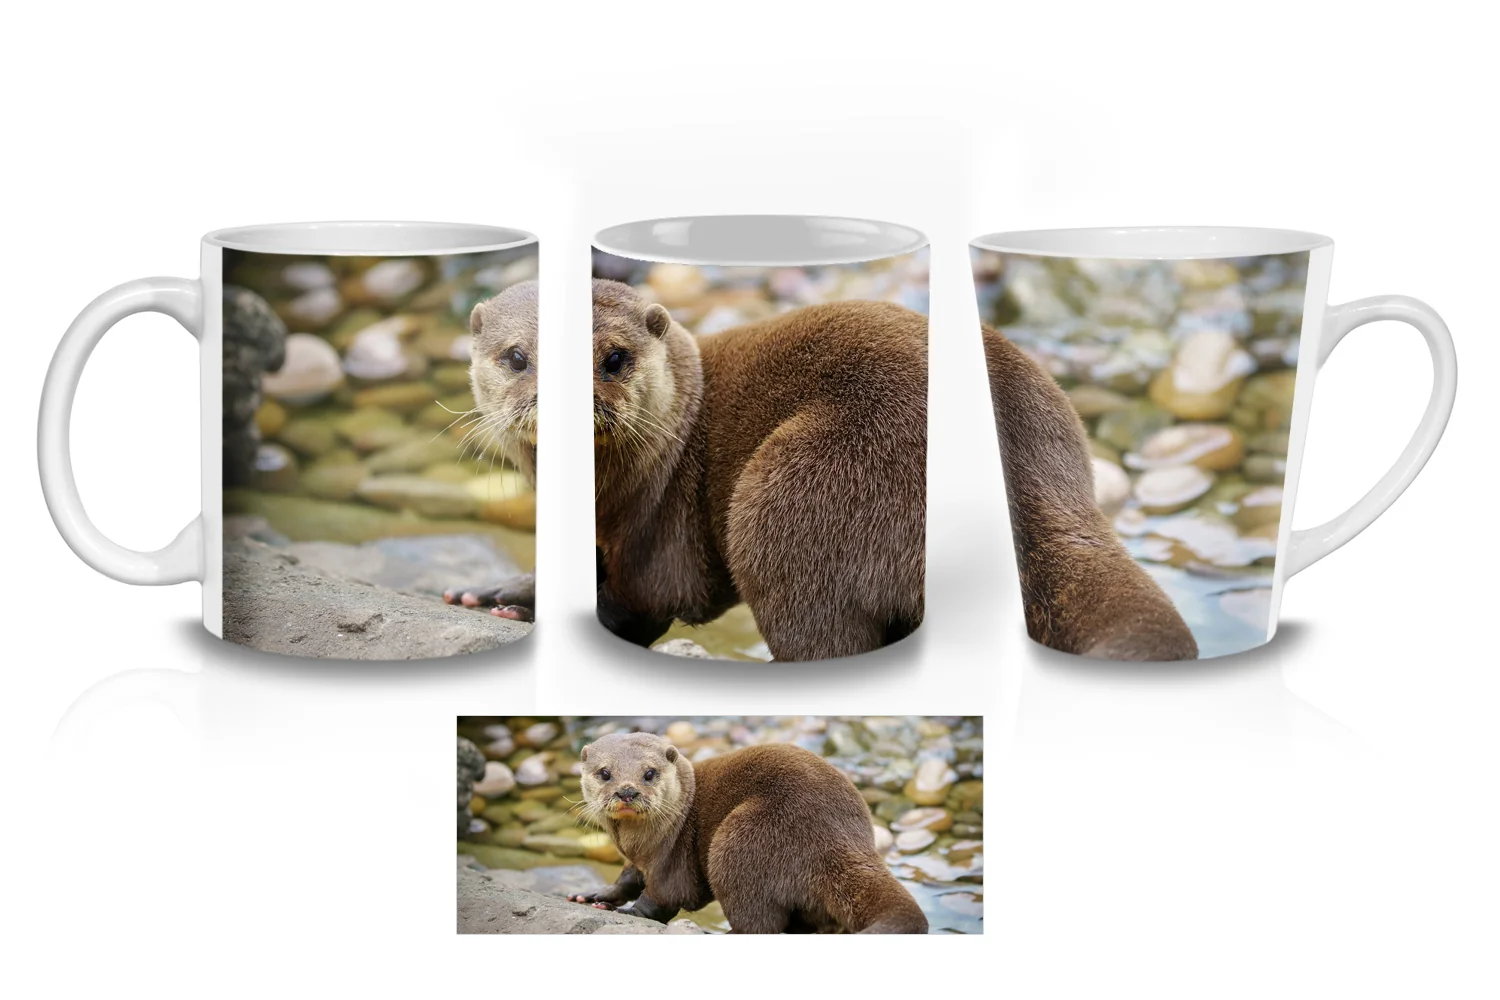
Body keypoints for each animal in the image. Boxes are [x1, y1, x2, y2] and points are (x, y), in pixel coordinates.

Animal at [566, 732, 928, 934]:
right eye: (604, 773)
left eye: (650, 773)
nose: (627, 791)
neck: (639, 845)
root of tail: (842, 841)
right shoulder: (639, 861)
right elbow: (626, 880)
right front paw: (594, 896)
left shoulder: (671, 857)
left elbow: (664, 897)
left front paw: (625, 912)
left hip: (742, 839)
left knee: (758, 923)